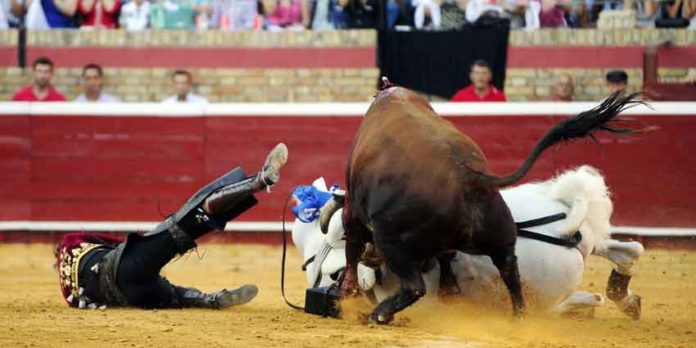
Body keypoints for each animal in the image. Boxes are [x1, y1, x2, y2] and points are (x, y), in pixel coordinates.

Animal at [342, 84, 648, 324]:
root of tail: (467, 176)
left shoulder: (354, 213)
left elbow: (351, 247)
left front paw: (348, 291)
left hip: (393, 242)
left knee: (414, 286)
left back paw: (379, 313)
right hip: (502, 236)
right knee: (512, 270)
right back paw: (522, 316)